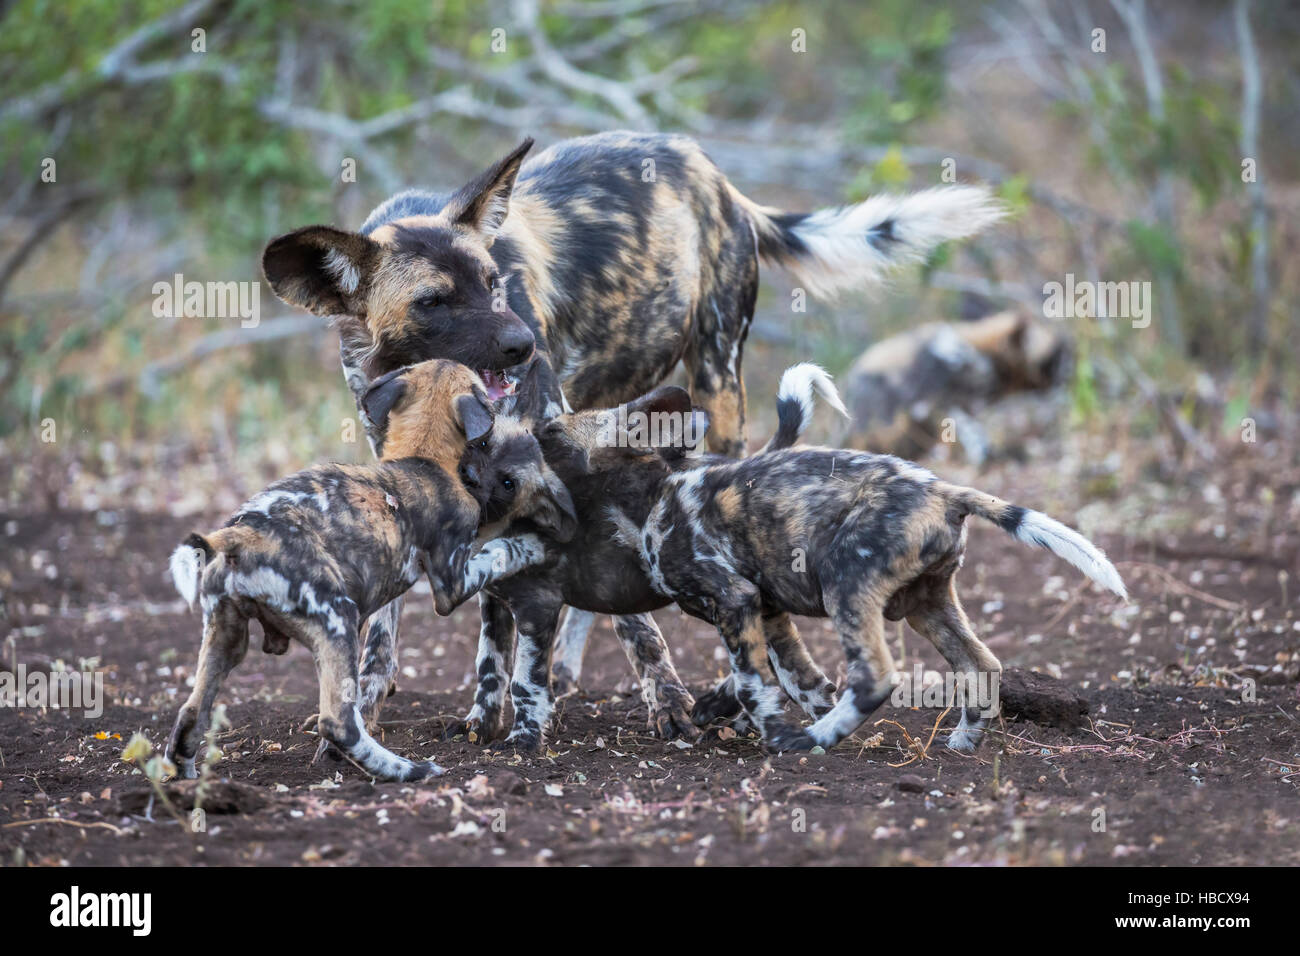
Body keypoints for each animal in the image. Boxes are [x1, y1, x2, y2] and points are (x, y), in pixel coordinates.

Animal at [161, 361, 569, 780]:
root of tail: (238, 536)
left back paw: (188, 780)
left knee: (191, 713)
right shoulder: (451, 583)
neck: (421, 457)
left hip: (226, 638)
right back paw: (410, 770)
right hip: (338, 619)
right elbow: (498, 553)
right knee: (337, 723)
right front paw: (532, 545)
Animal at [261, 127, 1003, 738]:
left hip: (714, 385)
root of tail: (710, 171)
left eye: (495, 283)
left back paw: (726, 695)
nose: (521, 345)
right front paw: (395, 697)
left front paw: (666, 701)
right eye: (433, 302)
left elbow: (626, 619)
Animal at [538, 369, 1128, 754]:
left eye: (552, 435)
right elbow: (788, 676)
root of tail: (944, 491)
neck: (651, 496)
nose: (524, 438)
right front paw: (740, 712)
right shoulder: (766, 610)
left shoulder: (736, 599)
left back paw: (813, 739)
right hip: (927, 607)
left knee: (874, 679)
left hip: (847, 583)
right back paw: (961, 740)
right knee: (982, 666)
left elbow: (754, 681)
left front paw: (777, 732)